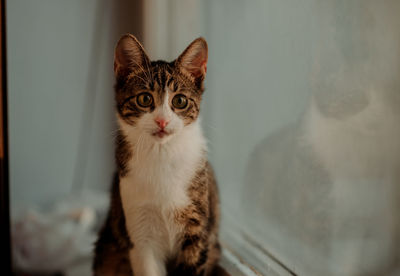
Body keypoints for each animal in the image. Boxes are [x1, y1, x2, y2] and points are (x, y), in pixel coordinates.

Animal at [92, 34, 220, 276]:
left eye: (179, 101)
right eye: (144, 99)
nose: (162, 121)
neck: (162, 154)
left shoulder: (197, 231)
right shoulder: (139, 232)